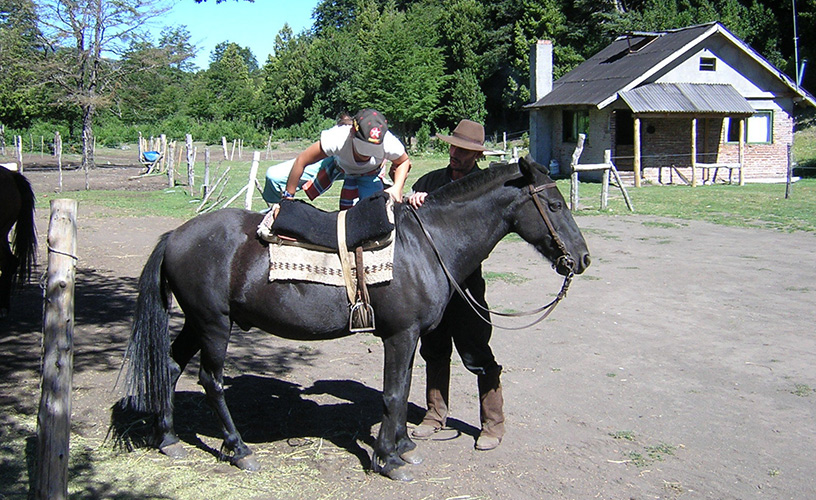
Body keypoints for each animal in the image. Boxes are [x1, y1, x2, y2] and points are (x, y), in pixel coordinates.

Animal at [123, 156, 591, 481]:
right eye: (554, 203)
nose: (582, 259)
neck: (427, 244)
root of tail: (175, 235)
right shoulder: (400, 335)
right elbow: (392, 394)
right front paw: (388, 460)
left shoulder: (411, 337)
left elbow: (403, 389)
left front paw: (404, 446)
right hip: (215, 324)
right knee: (210, 380)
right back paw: (238, 450)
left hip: (197, 323)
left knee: (169, 367)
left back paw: (168, 439)